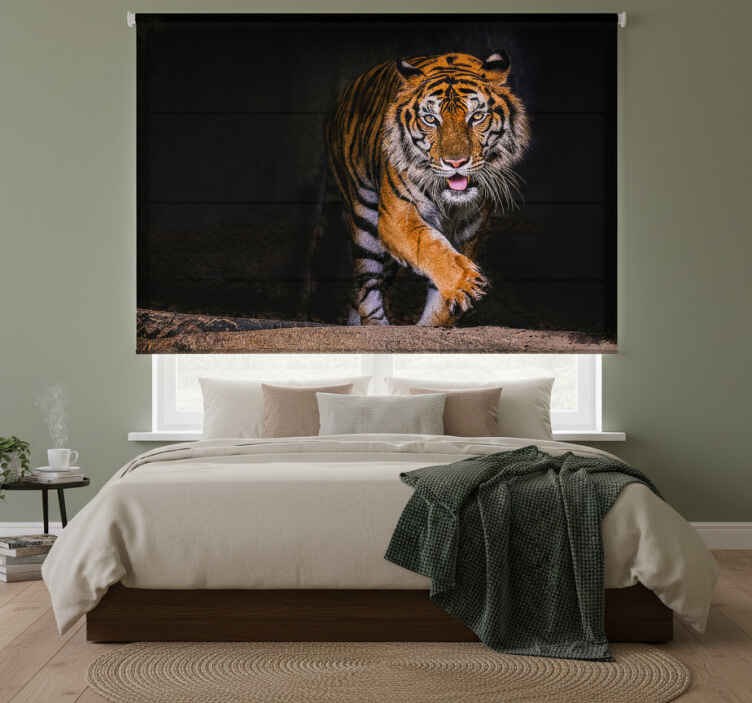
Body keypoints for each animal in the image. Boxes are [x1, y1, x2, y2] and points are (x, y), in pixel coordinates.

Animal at [326, 50, 530, 326]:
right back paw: (376, 325)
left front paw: (436, 320)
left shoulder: (469, 229)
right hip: (364, 219)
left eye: (476, 117)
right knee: (367, 287)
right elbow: (430, 245)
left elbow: (441, 298)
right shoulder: (396, 217)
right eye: (431, 119)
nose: (456, 163)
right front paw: (465, 283)